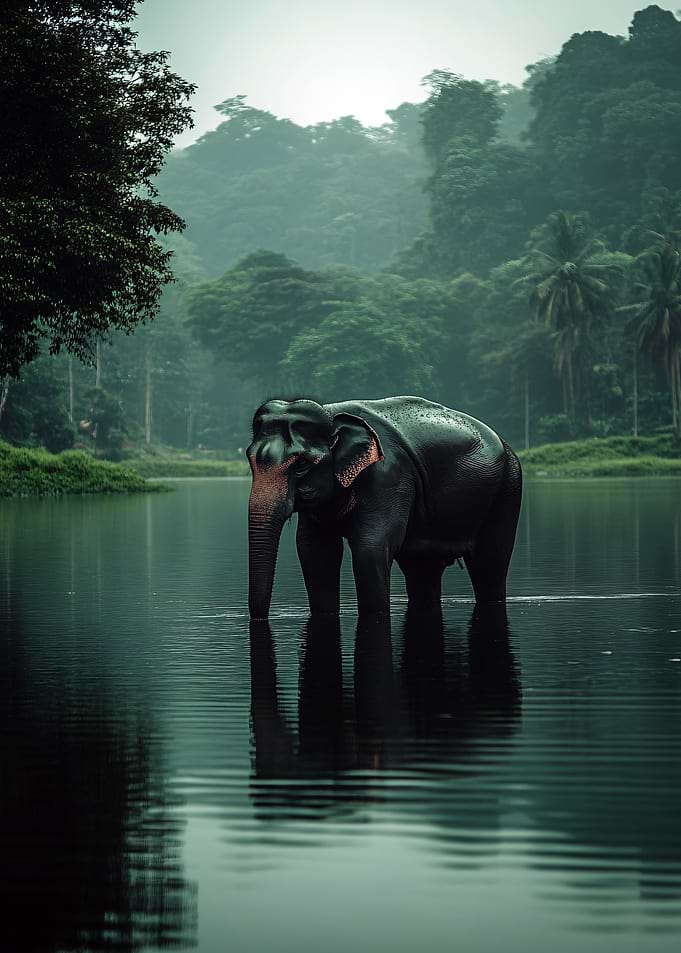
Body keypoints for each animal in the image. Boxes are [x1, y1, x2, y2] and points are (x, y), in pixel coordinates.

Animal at [247, 395, 522, 619]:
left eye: (301, 465)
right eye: (249, 460)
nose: (260, 618)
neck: (331, 412)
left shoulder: (389, 475)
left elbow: (370, 548)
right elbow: (314, 551)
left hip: (508, 486)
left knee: (490, 563)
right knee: (422, 569)